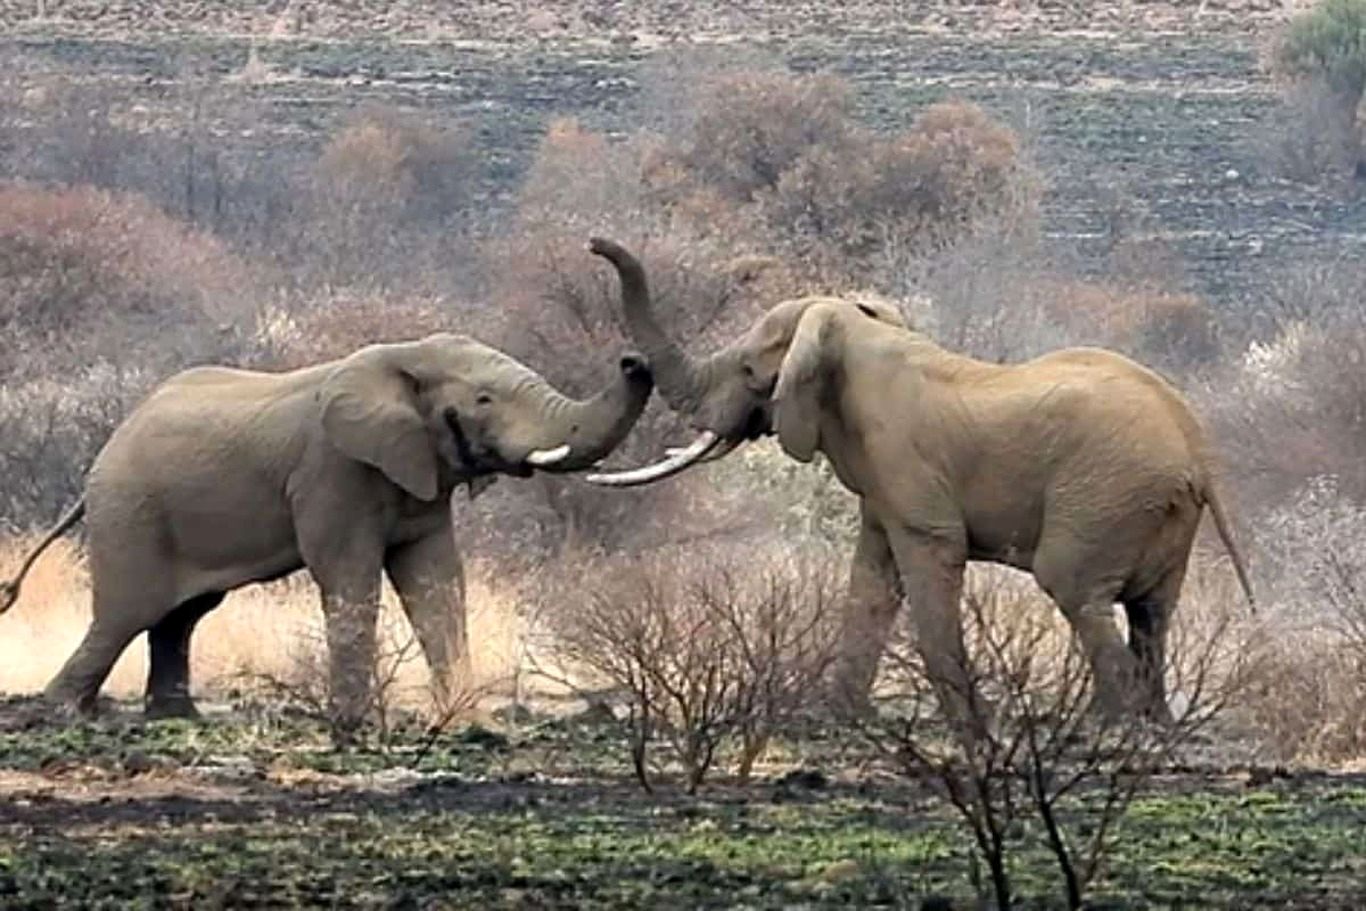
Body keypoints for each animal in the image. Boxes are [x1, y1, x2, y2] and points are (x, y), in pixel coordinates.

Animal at [1, 333, 650, 726]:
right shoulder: (331, 470)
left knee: (180, 616)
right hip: (130, 513)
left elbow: (436, 579)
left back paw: (174, 718)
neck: (405, 356)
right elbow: (348, 572)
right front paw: (354, 725)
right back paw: (60, 712)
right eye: (485, 400)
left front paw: (465, 722)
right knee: (124, 614)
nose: (633, 359)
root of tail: (101, 458)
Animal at [581, 239, 1251, 721]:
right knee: (1151, 611)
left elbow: (929, 562)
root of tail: (1195, 448)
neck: (853, 330)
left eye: (749, 370)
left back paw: (1108, 726)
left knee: (1075, 589)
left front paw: (971, 729)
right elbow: (872, 580)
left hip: (1105, 495)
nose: (629, 363)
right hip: (1155, 511)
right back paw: (1150, 724)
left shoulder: (906, 467)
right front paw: (834, 719)